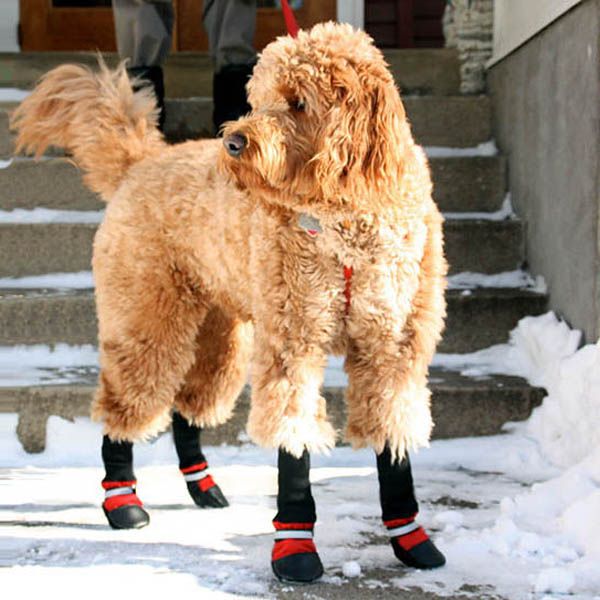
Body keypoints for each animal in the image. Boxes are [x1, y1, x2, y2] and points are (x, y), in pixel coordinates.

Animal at [11, 22, 448, 580]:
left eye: (298, 102)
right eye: (257, 99)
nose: (234, 142)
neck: (344, 217)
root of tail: (144, 162)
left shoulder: (392, 345)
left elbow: (393, 438)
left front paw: (409, 536)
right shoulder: (292, 340)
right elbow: (292, 438)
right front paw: (295, 547)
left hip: (220, 335)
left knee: (186, 408)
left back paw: (202, 486)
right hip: (146, 316)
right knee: (126, 404)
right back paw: (123, 502)